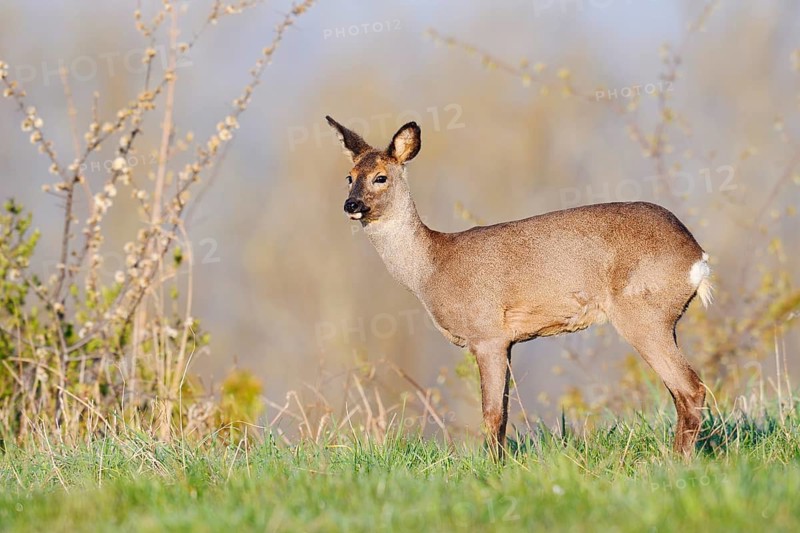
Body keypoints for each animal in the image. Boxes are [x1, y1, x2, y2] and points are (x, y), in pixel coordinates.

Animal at [325, 116, 712, 459]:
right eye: (349, 177)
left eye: (380, 177)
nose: (351, 204)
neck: (431, 268)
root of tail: (697, 256)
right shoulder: (507, 341)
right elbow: (505, 413)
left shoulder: (487, 334)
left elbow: (492, 415)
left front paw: (493, 470)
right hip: (665, 318)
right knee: (682, 391)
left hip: (642, 313)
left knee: (691, 388)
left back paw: (674, 463)